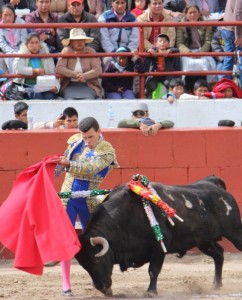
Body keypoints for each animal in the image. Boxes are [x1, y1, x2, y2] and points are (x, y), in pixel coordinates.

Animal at [74, 176, 242, 296]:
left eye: (97, 259)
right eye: (83, 264)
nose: (102, 287)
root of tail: (214, 184)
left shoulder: (159, 247)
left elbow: (153, 270)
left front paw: (150, 292)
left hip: (234, 232)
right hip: (203, 241)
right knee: (218, 254)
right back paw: (216, 285)